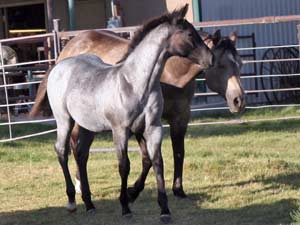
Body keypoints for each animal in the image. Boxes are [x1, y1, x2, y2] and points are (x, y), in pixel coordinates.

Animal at [31, 28, 246, 199]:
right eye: (220, 65)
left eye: (240, 63)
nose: (239, 100)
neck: (171, 72)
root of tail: (67, 50)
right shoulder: (141, 124)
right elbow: (148, 158)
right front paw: (134, 190)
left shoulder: (180, 118)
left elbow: (178, 153)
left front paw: (178, 189)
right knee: (75, 146)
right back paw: (79, 187)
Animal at [46, 4, 213, 221]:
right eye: (189, 34)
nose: (210, 58)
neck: (135, 84)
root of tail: (59, 66)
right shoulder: (120, 130)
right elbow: (124, 166)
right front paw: (125, 206)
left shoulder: (152, 128)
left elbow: (157, 162)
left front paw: (164, 210)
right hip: (65, 121)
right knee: (61, 151)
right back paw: (72, 201)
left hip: (88, 126)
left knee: (81, 155)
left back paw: (89, 204)